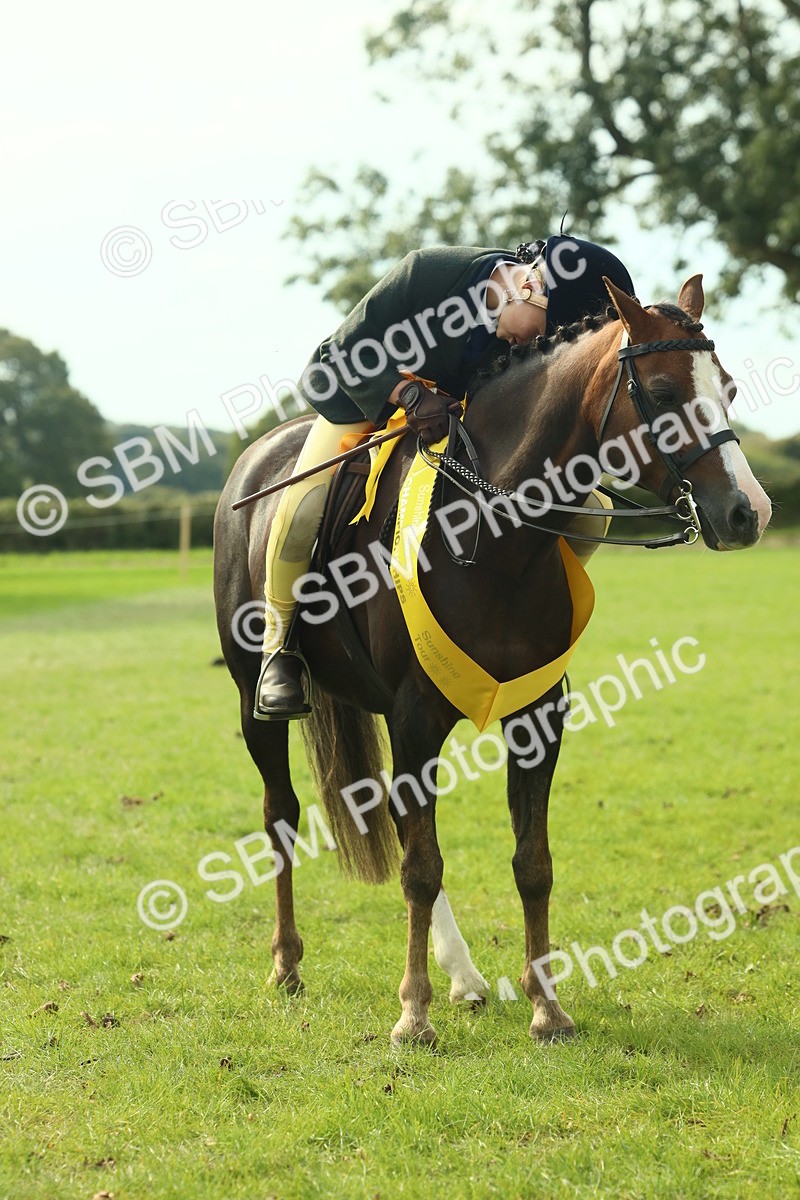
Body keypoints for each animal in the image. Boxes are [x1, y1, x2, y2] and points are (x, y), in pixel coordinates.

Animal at [213, 276, 771, 1046]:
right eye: (660, 392)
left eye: (730, 388)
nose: (750, 511)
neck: (495, 536)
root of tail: (257, 454)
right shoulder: (416, 718)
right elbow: (420, 867)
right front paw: (412, 1014)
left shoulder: (536, 716)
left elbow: (531, 862)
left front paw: (547, 1008)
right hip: (255, 705)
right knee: (282, 815)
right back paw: (289, 963)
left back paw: (464, 977)